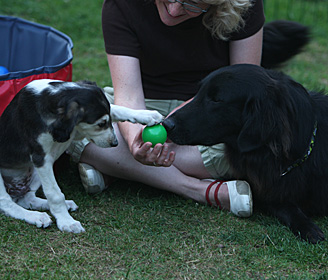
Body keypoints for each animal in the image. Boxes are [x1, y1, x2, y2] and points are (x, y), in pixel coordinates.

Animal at [0, 79, 163, 232]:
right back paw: (35, 216)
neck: (51, 96)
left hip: (35, 172)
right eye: (101, 124)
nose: (115, 143)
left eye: (107, 121)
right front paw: (67, 222)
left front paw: (148, 115)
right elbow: (55, 194)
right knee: (7, 203)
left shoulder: (71, 134)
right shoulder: (41, 158)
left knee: (25, 198)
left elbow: (118, 109)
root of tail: (14, 188)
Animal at [164, 64, 328, 244]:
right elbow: (287, 208)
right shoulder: (268, 191)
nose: (166, 123)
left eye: (217, 99)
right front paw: (306, 226)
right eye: (198, 92)